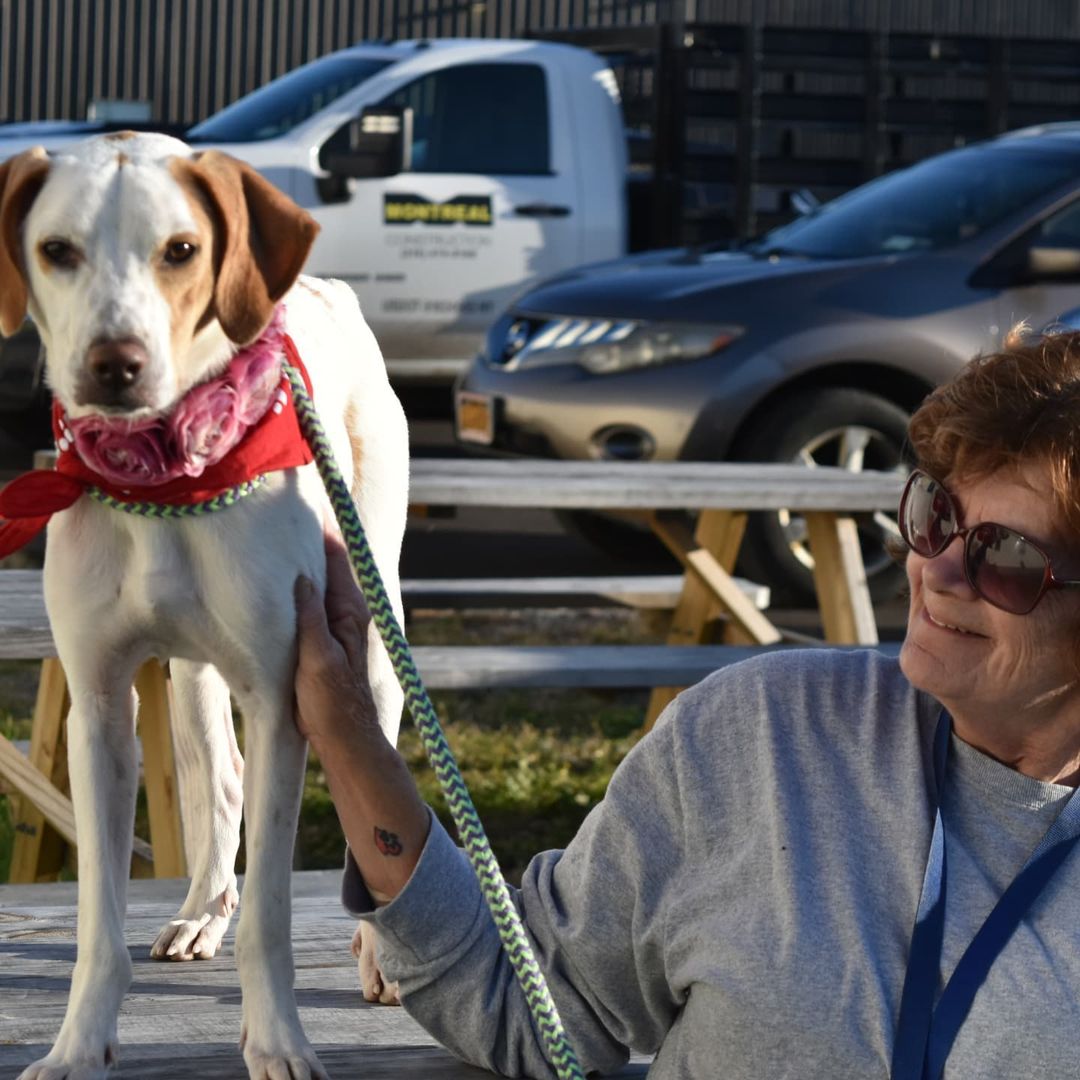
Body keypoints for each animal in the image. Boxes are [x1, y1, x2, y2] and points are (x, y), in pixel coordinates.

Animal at [0, 130, 408, 1075]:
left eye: (180, 250)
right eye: (56, 250)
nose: (114, 365)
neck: (162, 480)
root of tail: (325, 287)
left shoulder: (284, 693)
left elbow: (274, 918)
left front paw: (278, 1042)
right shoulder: (100, 707)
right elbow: (98, 919)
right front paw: (79, 1044)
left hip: (370, 638)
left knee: (377, 764)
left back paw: (380, 954)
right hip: (190, 675)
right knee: (218, 777)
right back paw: (202, 907)